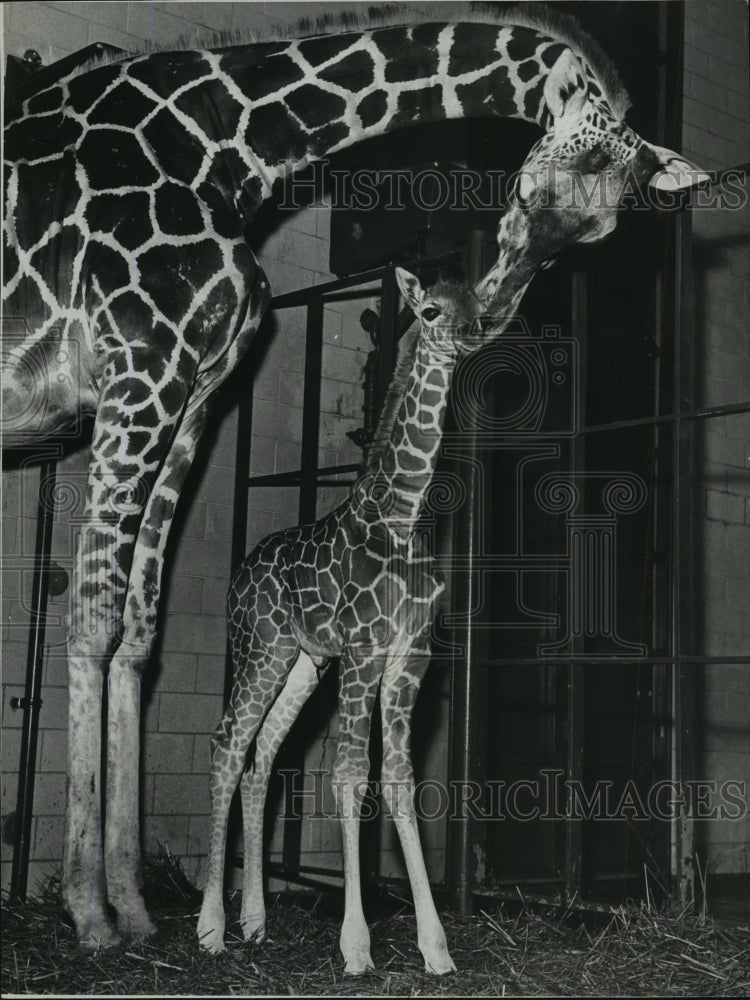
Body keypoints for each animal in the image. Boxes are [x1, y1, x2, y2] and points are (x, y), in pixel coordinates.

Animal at [198, 270, 494, 972]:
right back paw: (211, 929)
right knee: (228, 742)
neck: (405, 519)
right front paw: (356, 946)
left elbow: (401, 781)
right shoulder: (364, 651)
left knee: (262, 754)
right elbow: (350, 775)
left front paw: (437, 949)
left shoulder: (411, 656)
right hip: (262, 649)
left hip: (305, 663)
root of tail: (239, 577)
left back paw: (255, 921)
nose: (473, 333)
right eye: (431, 309)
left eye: (478, 303)